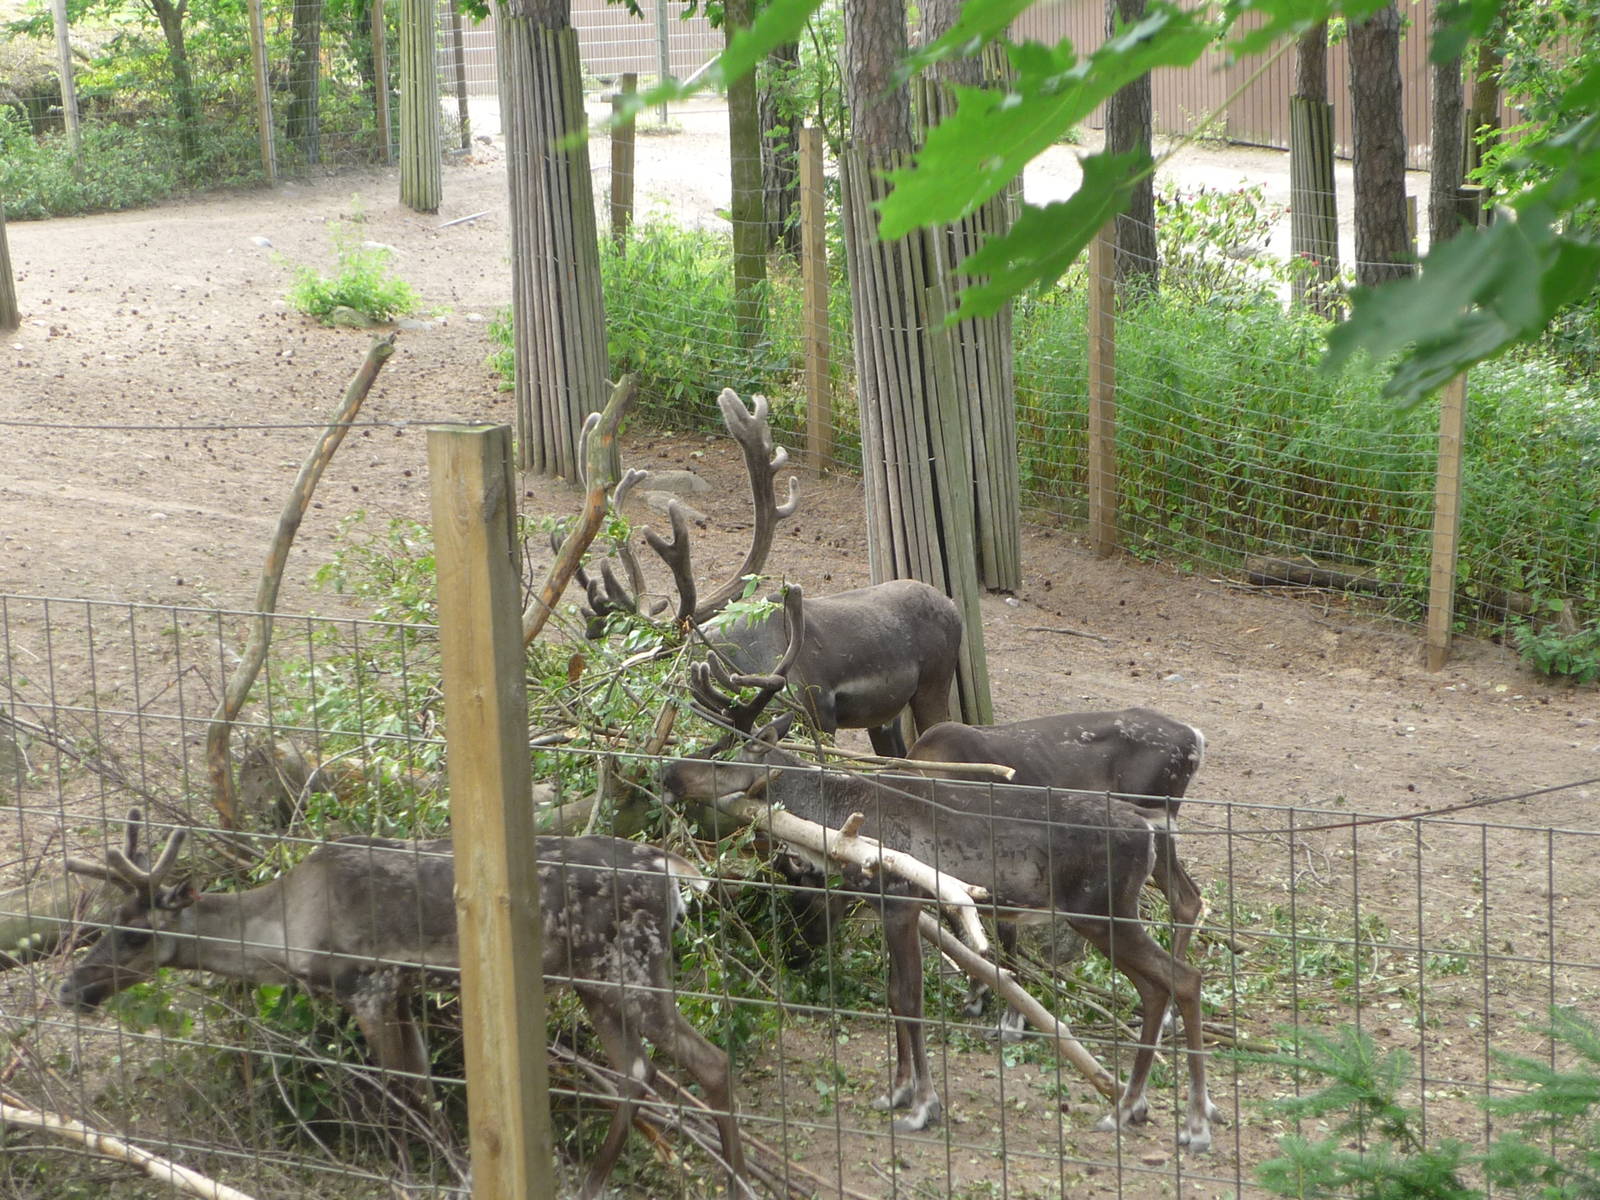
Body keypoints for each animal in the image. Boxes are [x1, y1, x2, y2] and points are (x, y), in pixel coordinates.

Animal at [58, 809, 746, 1200]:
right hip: (595, 981)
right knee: (636, 1072)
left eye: (134, 933)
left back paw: (736, 1185)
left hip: (628, 966)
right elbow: (425, 1090)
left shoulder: (370, 986)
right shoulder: (406, 994)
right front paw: (459, 1175)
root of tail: (673, 874)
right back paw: (594, 1185)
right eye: (102, 919)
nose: (70, 987)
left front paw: (416, 1181)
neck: (287, 930)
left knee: (708, 1061)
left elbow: (399, 1095)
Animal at [907, 709, 1208, 1038]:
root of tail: (1195, 737)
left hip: (1155, 814)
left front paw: (1012, 1020)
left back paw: (1166, 1016)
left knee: (1186, 899)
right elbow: (963, 926)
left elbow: (1004, 935)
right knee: (1187, 898)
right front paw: (978, 995)